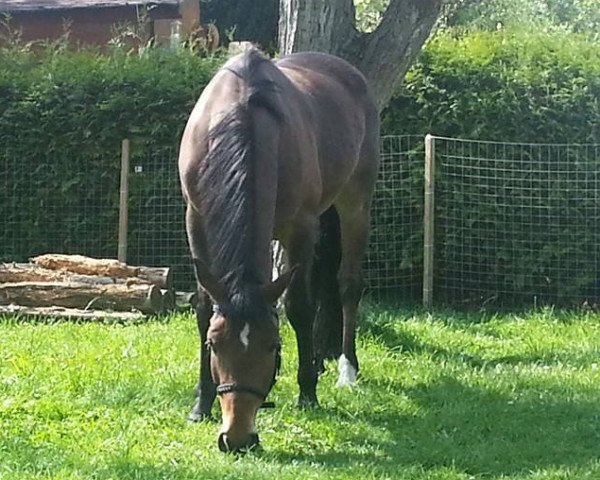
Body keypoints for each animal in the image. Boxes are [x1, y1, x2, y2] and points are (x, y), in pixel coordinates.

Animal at [178, 48, 380, 454]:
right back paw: (318, 360)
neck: (239, 117)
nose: (237, 438)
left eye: (272, 345)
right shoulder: (196, 220)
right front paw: (201, 403)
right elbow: (204, 307)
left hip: (355, 201)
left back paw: (345, 370)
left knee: (347, 284)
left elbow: (297, 306)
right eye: (214, 344)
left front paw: (307, 394)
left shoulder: (299, 227)